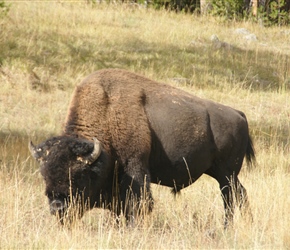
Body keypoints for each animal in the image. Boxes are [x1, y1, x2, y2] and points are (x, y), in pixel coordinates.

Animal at [29, 68, 255, 227]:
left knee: (231, 197)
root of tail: (239, 114)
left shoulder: (135, 169)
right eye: (44, 174)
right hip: (221, 173)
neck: (107, 112)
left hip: (226, 174)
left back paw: (228, 227)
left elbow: (138, 204)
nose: (57, 207)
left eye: (78, 175)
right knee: (240, 194)